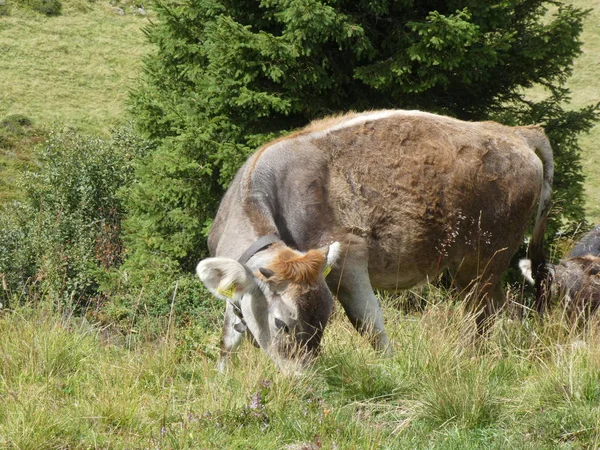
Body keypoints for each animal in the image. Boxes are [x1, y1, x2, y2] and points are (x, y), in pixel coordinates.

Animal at [198, 109, 552, 372]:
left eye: (324, 319)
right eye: (281, 323)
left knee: (481, 314)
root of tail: (515, 133)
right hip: (477, 268)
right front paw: (222, 378)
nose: (306, 377)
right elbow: (228, 338)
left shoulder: (349, 262)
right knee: (502, 308)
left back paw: (467, 356)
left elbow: (369, 323)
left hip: (482, 261)